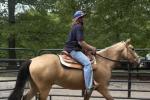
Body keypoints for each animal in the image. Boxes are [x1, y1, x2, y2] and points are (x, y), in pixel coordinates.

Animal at [8, 38, 139, 100]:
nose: (139, 60)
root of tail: (32, 60)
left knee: (25, 97)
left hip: (35, 86)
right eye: (132, 48)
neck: (104, 62)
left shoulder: (89, 90)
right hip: (44, 88)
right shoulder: (102, 88)